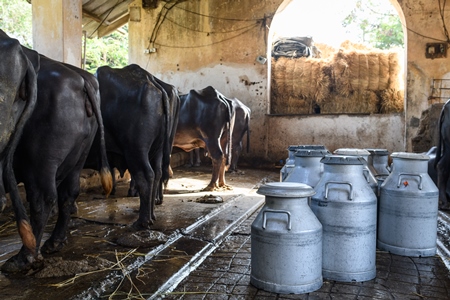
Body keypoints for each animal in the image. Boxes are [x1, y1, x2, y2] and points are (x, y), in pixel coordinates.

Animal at [0, 52, 112, 274]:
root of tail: (82, 80)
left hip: (42, 160)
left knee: (42, 199)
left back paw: (24, 257)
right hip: (78, 156)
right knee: (69, 193)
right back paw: (54, 242)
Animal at [89, 64, 179, 229]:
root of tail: (150, 80)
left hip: (135, 149)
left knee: (145, 175)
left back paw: (142, 220)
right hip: (157, 149)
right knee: (157, 173)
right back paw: (152, 212)